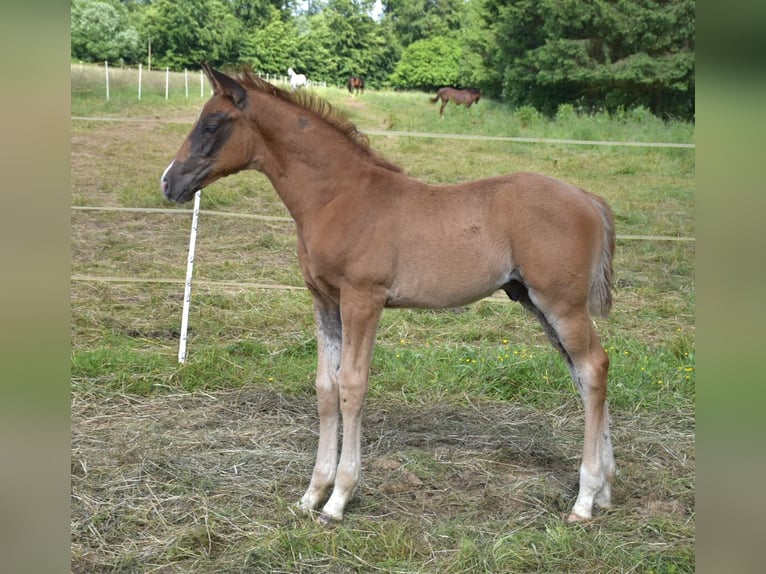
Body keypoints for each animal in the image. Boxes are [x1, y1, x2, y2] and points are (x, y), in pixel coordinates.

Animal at [160, 65, 616, 528]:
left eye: (212, 124)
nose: (169, 182)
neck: (339, 197)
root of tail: (589, 199)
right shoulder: (324, 301)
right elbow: (326, 388)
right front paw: (311, 494)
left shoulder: (363, 299)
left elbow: (352, 386)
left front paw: (338, 500)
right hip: (534, 301)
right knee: (582, 375)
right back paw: (604, 490)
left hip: (561, 304)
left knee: (594, 367)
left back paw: (585, 499)